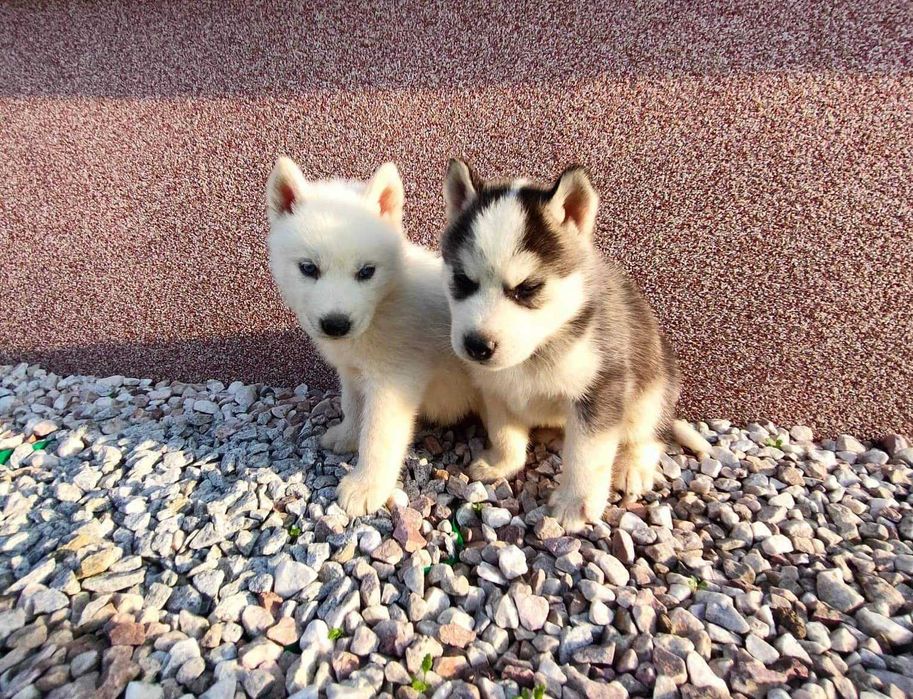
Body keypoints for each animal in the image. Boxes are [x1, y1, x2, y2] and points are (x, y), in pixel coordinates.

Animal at [264, 160, 478, 520]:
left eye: (366, 272)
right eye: (308, 268)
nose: (336, 324)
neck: (385, 302)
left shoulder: (393, 381)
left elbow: (378, 435)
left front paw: (366, 487)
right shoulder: (352, 370)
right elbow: (353, 404)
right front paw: (348, 435)